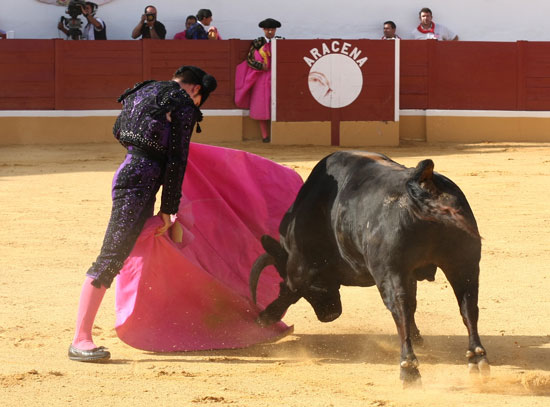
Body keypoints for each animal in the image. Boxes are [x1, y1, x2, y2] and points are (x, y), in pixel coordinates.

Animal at [250, 152, 492, 386]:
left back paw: (409, 369)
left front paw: (266, 315)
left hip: (391, 271)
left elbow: (290, 289)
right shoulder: (412, 272)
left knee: (401, 309)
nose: (329, 314)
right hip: (464, 264)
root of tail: (421, 184)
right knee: (468, 306)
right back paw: (477, 359)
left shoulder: (298, 268)